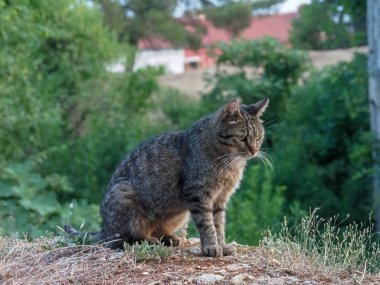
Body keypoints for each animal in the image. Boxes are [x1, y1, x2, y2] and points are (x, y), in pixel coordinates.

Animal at [64, 96, 268, 256]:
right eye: (242, 138)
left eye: (258, 137)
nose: (254, 150)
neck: (229, 162)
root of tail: (104, 228)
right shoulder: (199, 195)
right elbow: (207, 225)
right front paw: (211, 247)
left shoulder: (220, 199)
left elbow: (219, 225)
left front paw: (222, 245)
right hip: (124, 197)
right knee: (125, 239)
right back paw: (148, 241)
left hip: (179, 214)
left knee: (157, 230)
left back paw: (170, 238)